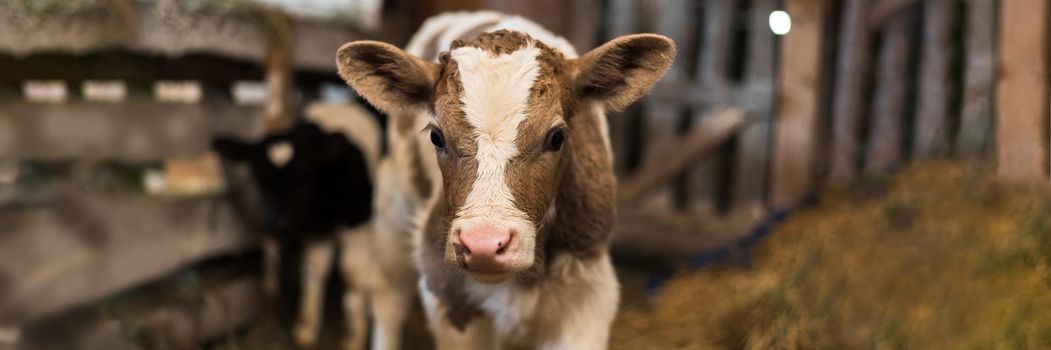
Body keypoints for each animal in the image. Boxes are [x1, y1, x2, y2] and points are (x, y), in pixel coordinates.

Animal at [340, 12, 676, 346]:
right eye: (436, 136)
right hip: (394, 206)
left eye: (556, 137)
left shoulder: (588, 296)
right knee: (388, 295)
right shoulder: (449, 295)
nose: (484, 245)